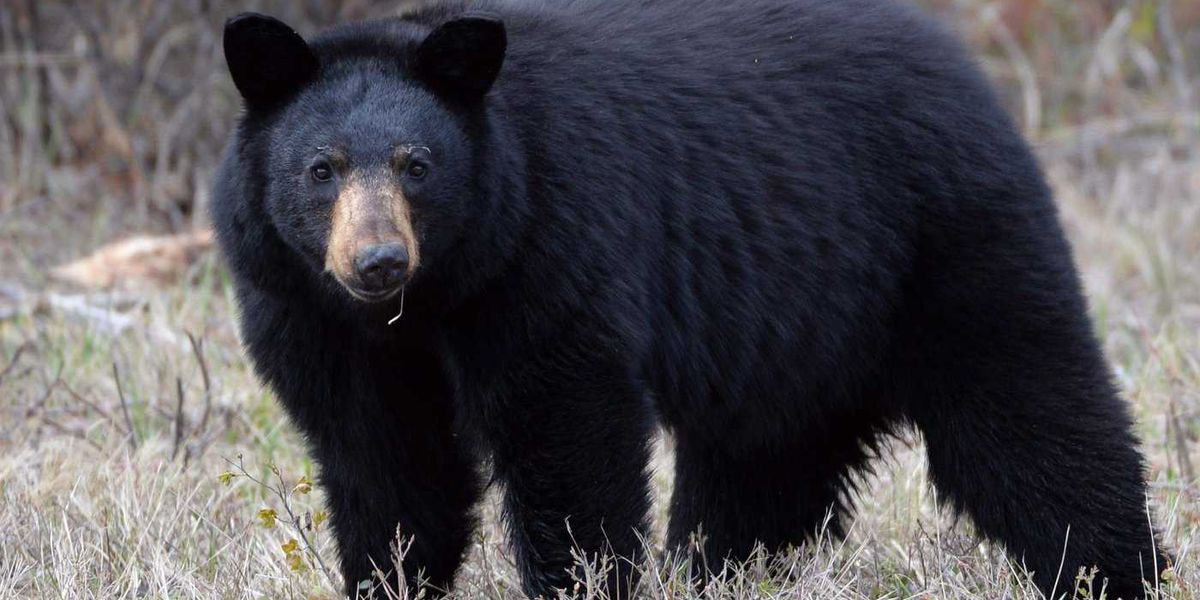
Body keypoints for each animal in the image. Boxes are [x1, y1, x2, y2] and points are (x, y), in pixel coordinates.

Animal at [211, 0, 1167, 598]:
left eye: (418, 164)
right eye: (321, 169)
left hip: (947, 245)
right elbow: (386, 463)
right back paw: (727, 573)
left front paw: (578, 580)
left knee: (1032, 415)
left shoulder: (547, 250)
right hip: (796, 332)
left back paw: (1117, 572)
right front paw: (390, 576)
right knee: (761, 473)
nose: (378, 260)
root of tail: (968, 74)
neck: (433, 297)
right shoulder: (309, 315)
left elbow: (567, 432)